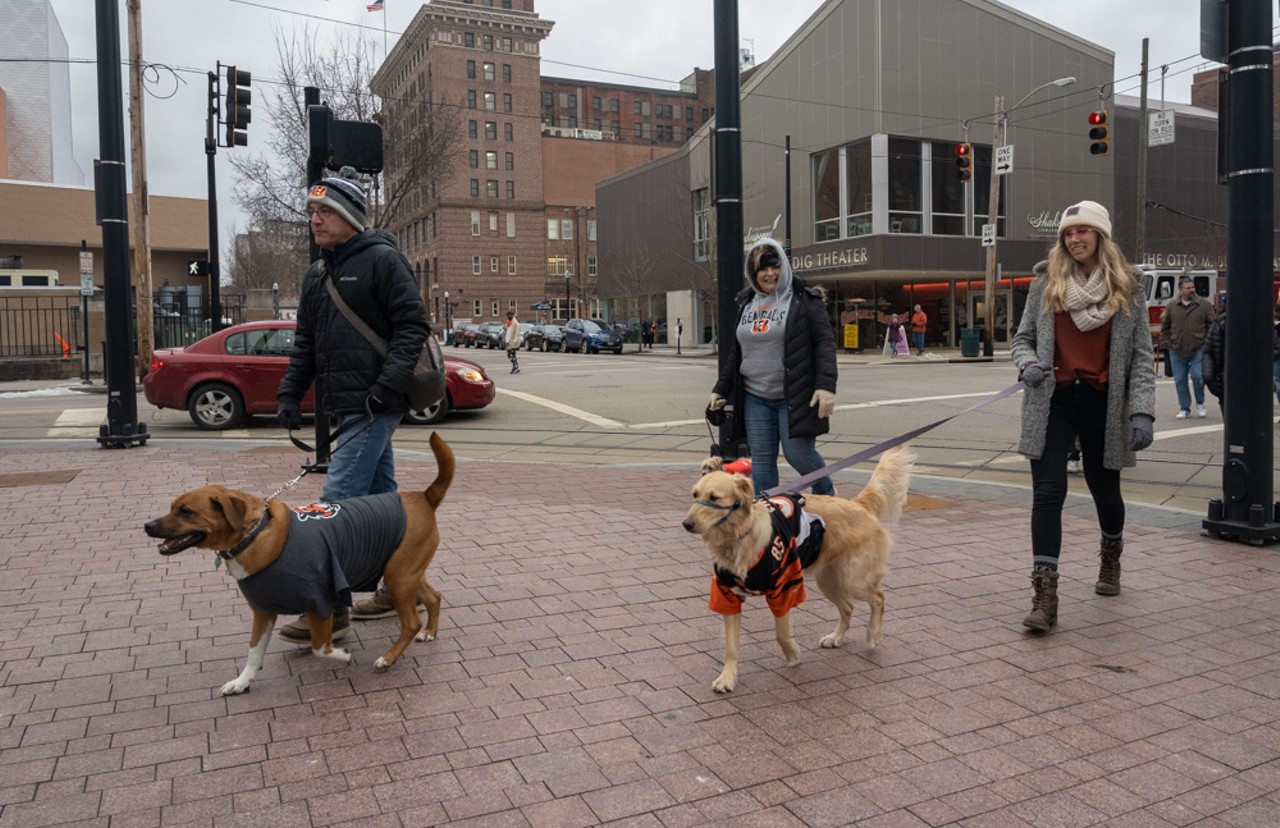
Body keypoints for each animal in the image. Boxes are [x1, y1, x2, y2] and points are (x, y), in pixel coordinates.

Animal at [146, 429, 455, 696]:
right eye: (173, 507)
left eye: (185, 511)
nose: (148, 526)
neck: (254, 533)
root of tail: (422, 497)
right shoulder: (262, 611)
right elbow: (254, 652)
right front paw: (243, 681)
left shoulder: (320, 600)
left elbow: (320, 647)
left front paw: (342, 655)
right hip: (405, 572)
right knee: (434, 597)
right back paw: (429, 632)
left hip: (399, 577)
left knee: (411, 622)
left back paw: (389, 657)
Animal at [686, 447, 916, 691]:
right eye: (694, 495)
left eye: (714, 497)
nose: (686, 523)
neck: (739, 538)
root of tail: (857, 503)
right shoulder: (727, 597)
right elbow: (730, 647)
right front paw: (727, 678)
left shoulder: (784, 589)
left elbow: (781, 633)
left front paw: (793, 655)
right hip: (830, 581)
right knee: (848, 607)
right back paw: (836, 637)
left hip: (854, 579)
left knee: (879, 597)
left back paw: (873, 634)